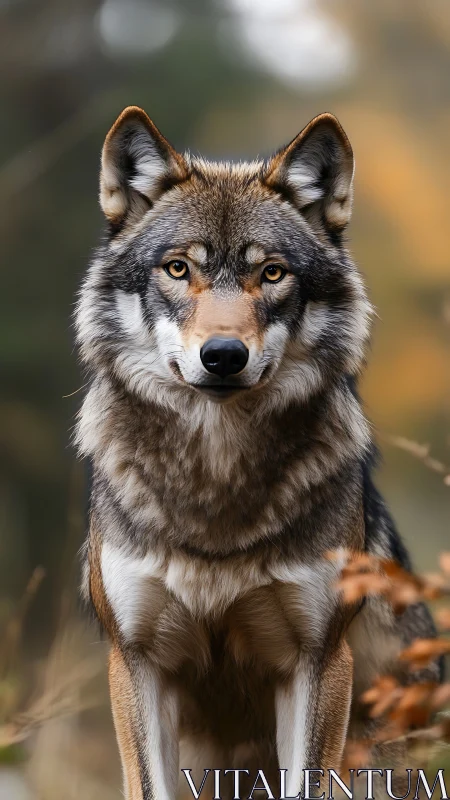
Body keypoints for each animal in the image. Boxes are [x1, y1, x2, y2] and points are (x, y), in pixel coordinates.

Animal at [75, 107, 439, 800]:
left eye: (271, 273)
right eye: (178, 269)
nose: (223, 355)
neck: (218, 483)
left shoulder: (318, 661)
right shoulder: (135, 662)